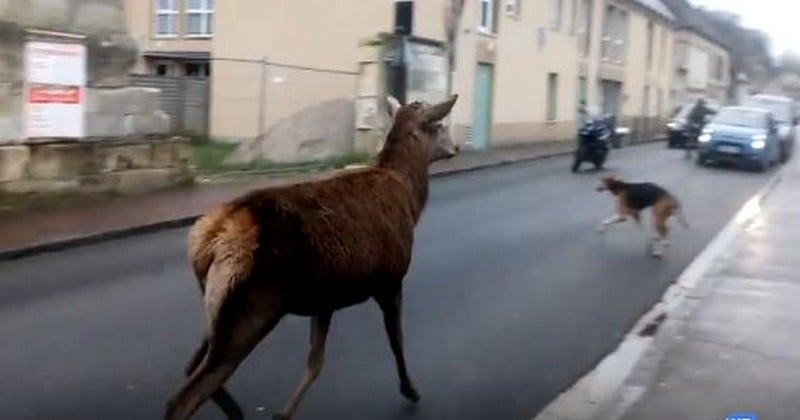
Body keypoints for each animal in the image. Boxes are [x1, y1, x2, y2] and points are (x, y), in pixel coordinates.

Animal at [165, 93, 460, 418]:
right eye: (441, 124)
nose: (457, 147)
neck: (411, 200)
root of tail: (208, 237)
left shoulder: (325, 299)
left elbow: (315, 363)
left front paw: (283, 413)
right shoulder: (392, 278)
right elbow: (397, 340)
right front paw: (410, 390)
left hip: (217, 303)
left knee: (192, 366)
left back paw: (235, 410)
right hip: (255, 306)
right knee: (187, 393)